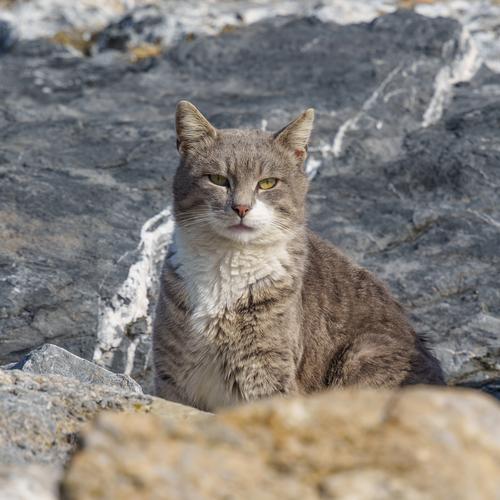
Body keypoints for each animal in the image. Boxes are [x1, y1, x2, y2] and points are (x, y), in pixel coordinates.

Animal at [151, 100, 442, 410]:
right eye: (218, 179)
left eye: (268, 183)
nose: (241, 207)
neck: (227, 264)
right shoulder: (172, 374)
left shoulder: (265, 372)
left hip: (362, 354)